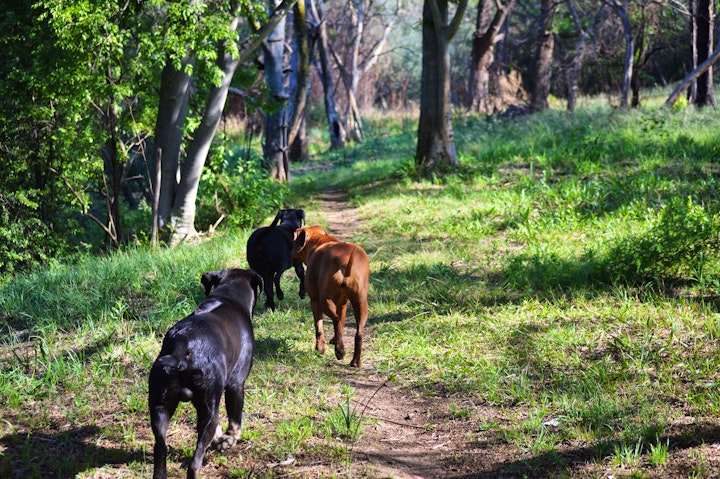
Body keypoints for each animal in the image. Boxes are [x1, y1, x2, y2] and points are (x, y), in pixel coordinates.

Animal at [148, 270, 262, 479]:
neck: (228, 296)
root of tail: (182, 344)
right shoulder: (236, 385)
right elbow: (235, 419)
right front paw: (228, 440)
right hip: (209, 409)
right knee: (194, 464)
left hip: (160, 409)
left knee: (160, 450)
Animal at [292, 225, 372, 368]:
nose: (290, 253)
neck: (321, 241)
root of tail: (345, 261)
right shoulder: (343, 304)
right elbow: (341, 323)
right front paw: (334, 340)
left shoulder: (315, 300)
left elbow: (318, 326)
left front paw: (320, 348)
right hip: (361, 304)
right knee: (357, 332)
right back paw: (355, 361)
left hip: (325, 301)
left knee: (336, 320)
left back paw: (340, 351)